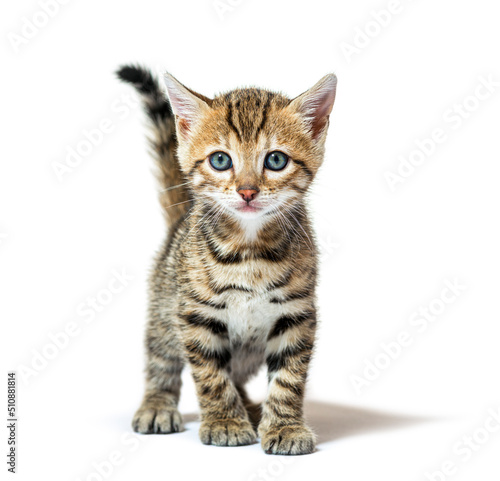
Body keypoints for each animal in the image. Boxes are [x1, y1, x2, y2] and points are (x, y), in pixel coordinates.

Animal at [116, 66, 336, 454]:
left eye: (275, 160)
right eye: (220, 160)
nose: (247, 191)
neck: (249, 250)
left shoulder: (297, 313)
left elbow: (289, 376)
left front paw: (285, 426)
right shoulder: (195, 314)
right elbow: (210, 375)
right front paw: (225, 422)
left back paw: (252, 408)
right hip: (164, 309)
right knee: (161, 360)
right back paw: (158, 404)